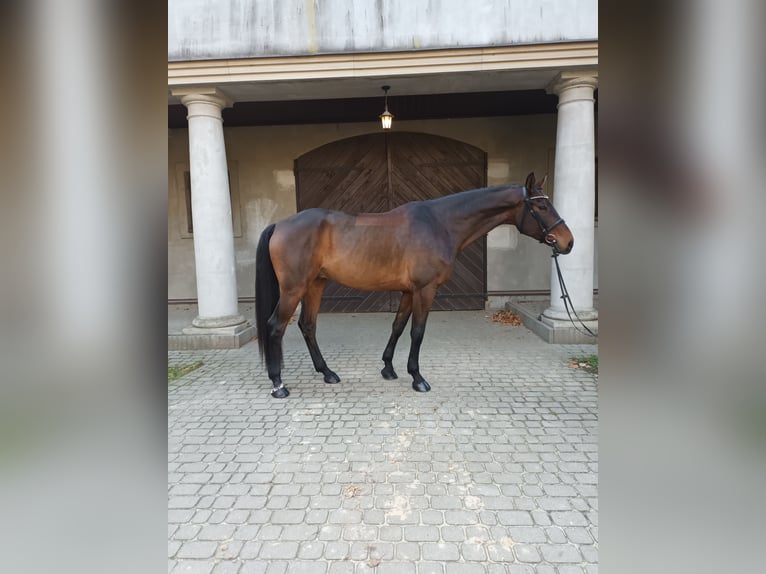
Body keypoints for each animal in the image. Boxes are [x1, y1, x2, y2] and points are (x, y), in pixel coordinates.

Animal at [255, 172, 573, 398]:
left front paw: (388, 368)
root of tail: (280, 225)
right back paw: (278, 384)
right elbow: (417, 332)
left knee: (307, 325)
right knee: (275, 326)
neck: (440, 223)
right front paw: (417, 378)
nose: (567, 242)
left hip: (315, 285)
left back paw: (327, 373)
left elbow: (398, 327)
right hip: (293, 289)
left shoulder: (408, 291)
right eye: (541, 205)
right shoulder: (425, 290)